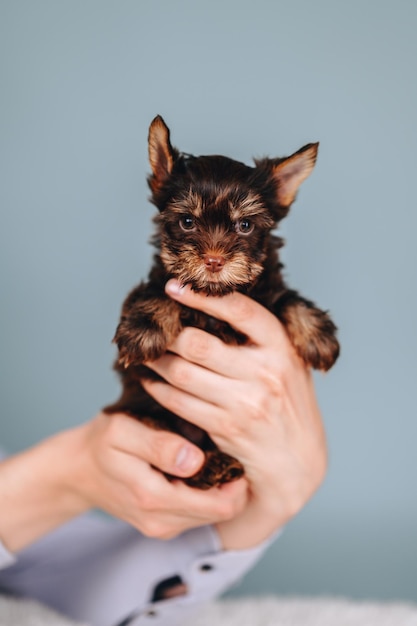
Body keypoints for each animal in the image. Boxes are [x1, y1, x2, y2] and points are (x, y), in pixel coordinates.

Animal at [103, 116, 338, 488]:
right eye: (187, 222)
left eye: (245, 225)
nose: (214, 260)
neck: (214, 295)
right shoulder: (162, 283)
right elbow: (158, 291)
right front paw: (143, 329)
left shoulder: (269, 291)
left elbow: (288, 299)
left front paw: (319, 335)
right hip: (146, 413)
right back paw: (213, 466)